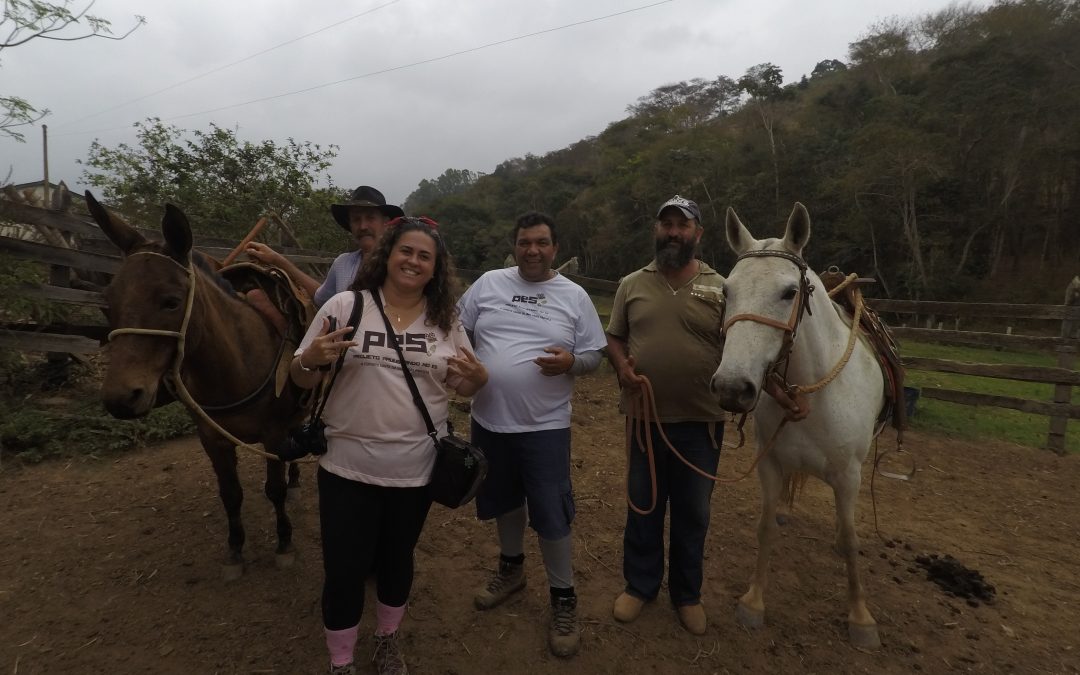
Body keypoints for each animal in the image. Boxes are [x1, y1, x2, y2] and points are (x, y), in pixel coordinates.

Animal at [708, 204, 885, 648]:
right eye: (727, 292)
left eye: (790, 292)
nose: (732, 387)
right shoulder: (769, 465)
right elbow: (765, 528)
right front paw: (753, 602)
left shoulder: (849, 476)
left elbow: (853, 539)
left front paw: (861, 619)